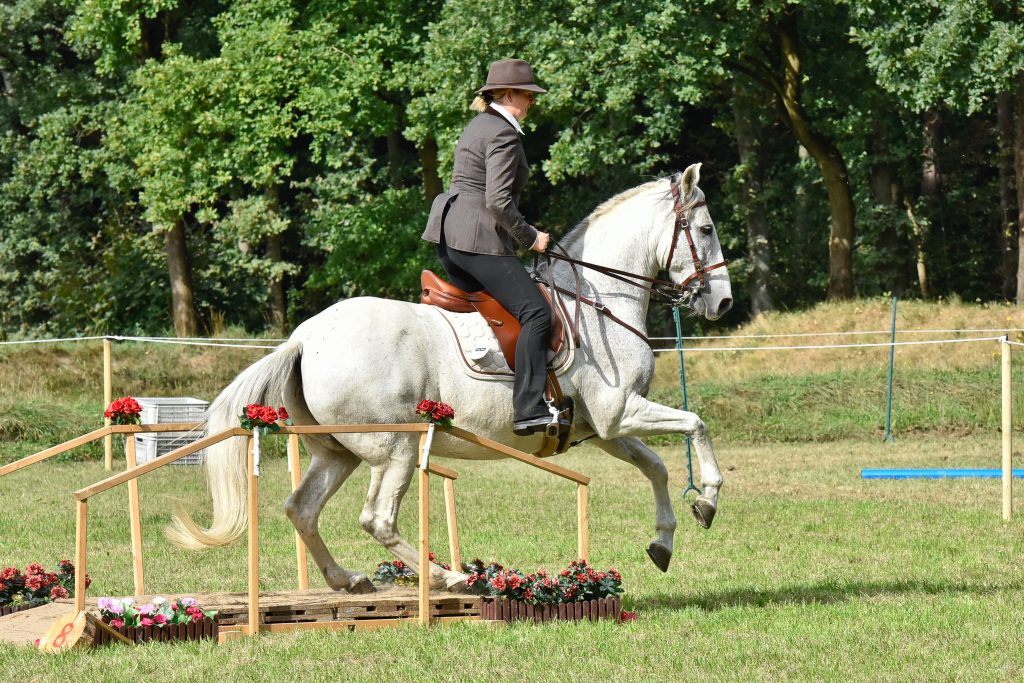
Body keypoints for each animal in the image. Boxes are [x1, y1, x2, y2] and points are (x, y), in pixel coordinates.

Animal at [169, 163, 729, 593]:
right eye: (705, 231)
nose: (721, 302)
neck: (596, 302)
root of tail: (303, 338)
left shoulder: (607, 429)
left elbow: (656, 466)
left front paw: (663, 541)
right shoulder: (621, 413)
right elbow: (696, 424)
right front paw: (709, 499)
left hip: (338, 451)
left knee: (302, 509)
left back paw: (348, 580)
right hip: (395, 447)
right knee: (377, 518)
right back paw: (451, 578)